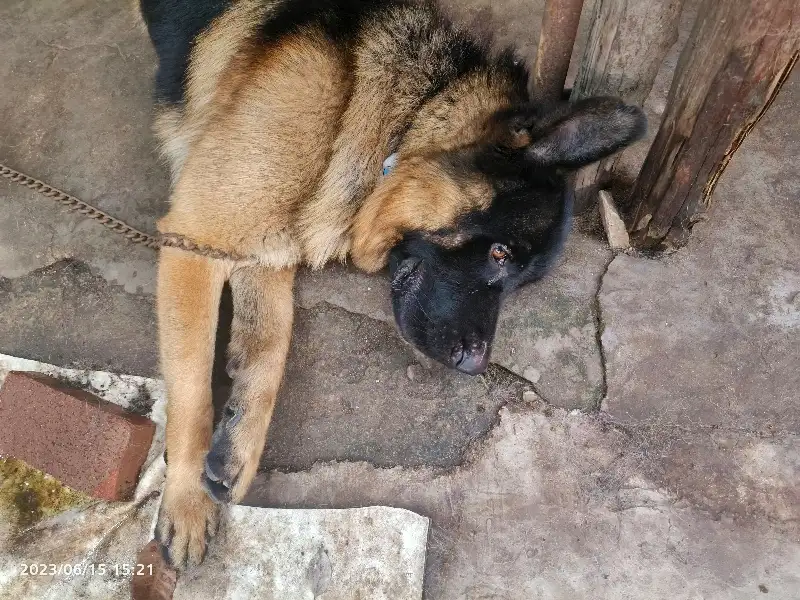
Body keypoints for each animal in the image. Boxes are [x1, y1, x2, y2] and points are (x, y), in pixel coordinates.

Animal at [141, 0, 648, 568]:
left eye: (518, 282)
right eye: (498, 254)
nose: (475, 365)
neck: (396, 120)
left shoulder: (266, 249)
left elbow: (268, 352)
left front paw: (236, 448)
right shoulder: (197, 238)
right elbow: (191, 391)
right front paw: (186, 496)